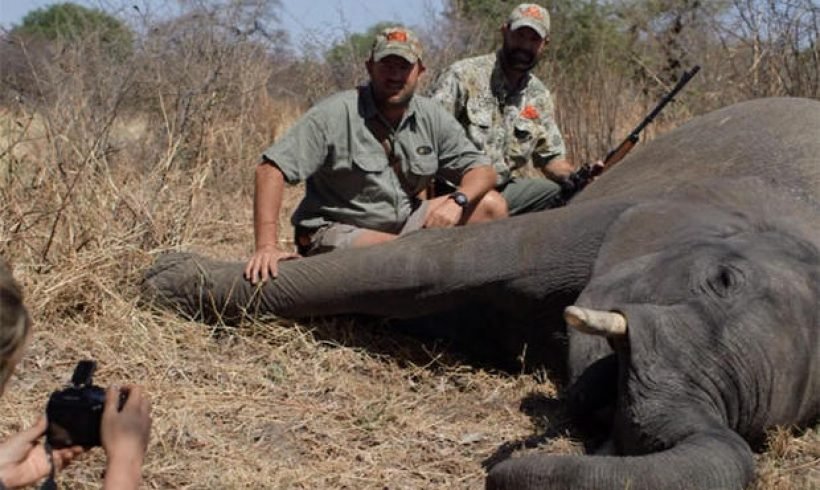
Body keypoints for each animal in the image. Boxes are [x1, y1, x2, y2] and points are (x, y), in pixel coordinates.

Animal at [142, 97, 819, 489]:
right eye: (723, 282)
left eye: (770, 427)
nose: (497, 465)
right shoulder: (649, 211)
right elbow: (434, 263)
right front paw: (161, 280)